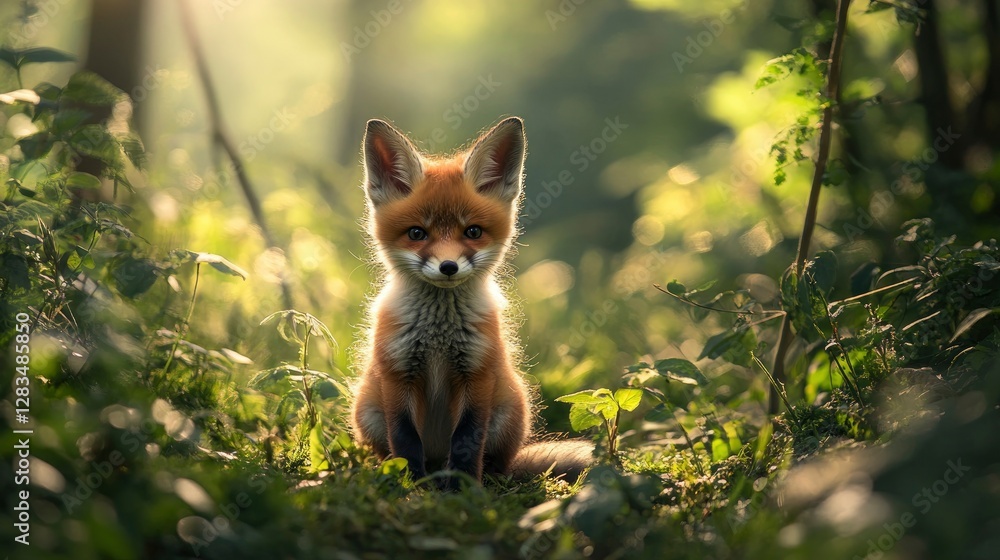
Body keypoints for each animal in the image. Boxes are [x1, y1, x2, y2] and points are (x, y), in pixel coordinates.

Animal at [350, 117, 592, 486]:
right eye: (417, 233)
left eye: (473, 232)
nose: (448, 266)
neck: (438, 336)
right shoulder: (397, 373)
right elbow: (405, 442)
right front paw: (411, 485)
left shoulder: (477, 375)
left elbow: (466, 441)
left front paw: (463, 489)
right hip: (368, 409)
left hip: (509, 408)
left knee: (495, 465)